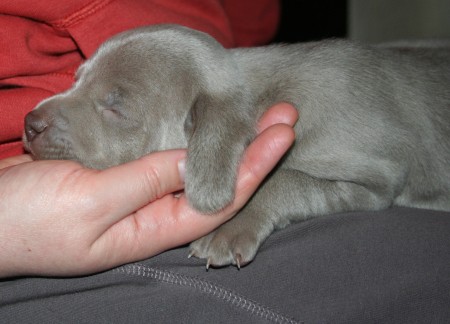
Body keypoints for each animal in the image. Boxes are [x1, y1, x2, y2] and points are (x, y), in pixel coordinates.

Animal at [23, 24, 450, 268]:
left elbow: (285, 179)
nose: (29, 124)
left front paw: (228, 229)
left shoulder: (375, 179)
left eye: (115, 106)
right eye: (77, 79)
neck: (266, 94)